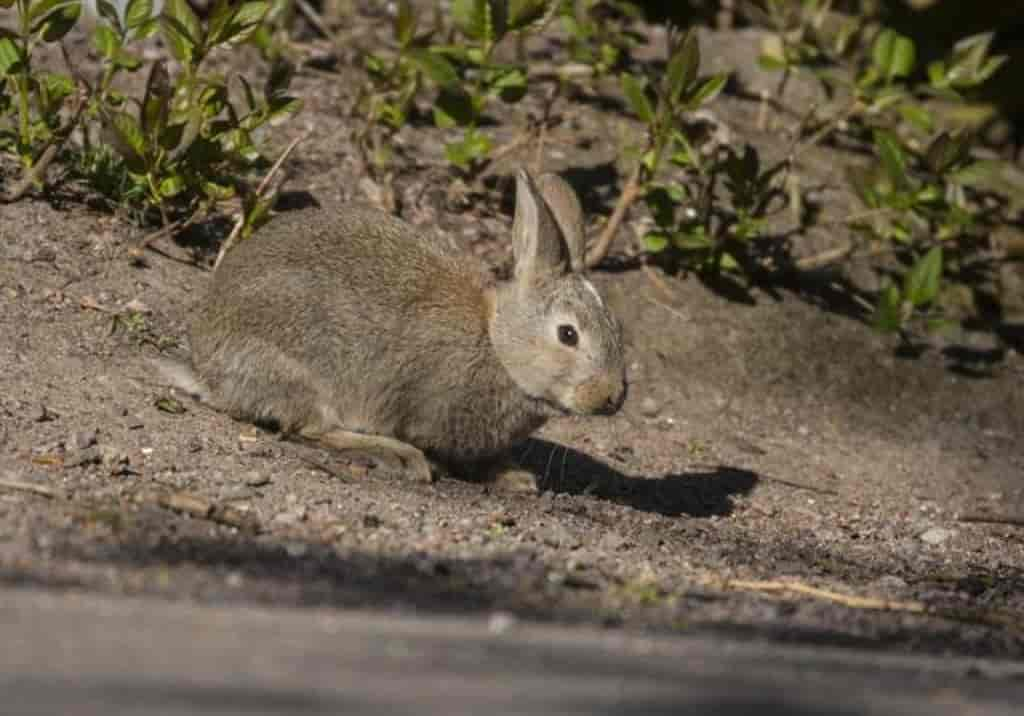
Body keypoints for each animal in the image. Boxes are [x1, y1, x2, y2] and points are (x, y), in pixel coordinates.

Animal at [175, 170, 622, 489]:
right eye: (568, 335)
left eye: (616, 329)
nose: (613, 397)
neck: (496, 341)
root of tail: (208, 372)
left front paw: (514, 477)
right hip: (305, 367)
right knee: (313, 429)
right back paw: (399, 456)